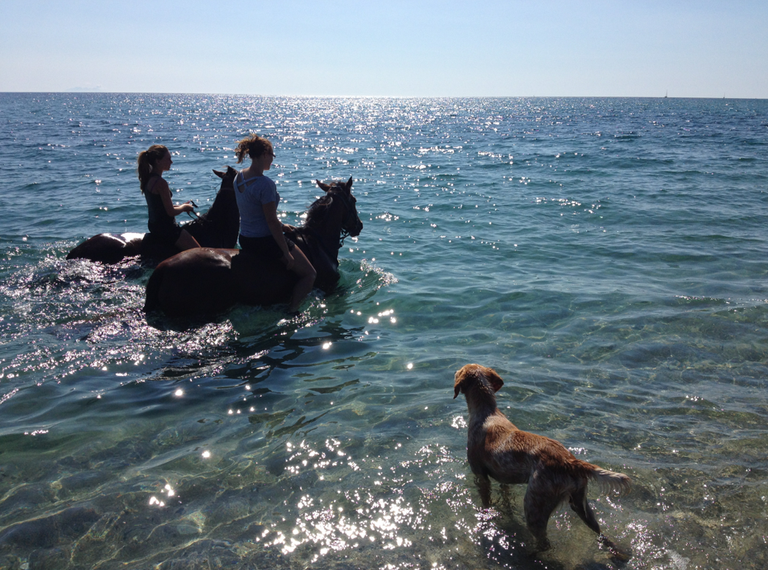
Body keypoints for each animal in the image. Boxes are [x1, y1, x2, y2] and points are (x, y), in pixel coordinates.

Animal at [452, 362, 628, 548]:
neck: (487, 412)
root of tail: (570, 461)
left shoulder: (480, 475)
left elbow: (486, 503)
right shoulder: (503, 478)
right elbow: (506, 497)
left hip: (534, 506)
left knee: (544, 543)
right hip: (581, 505)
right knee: (599, 530)